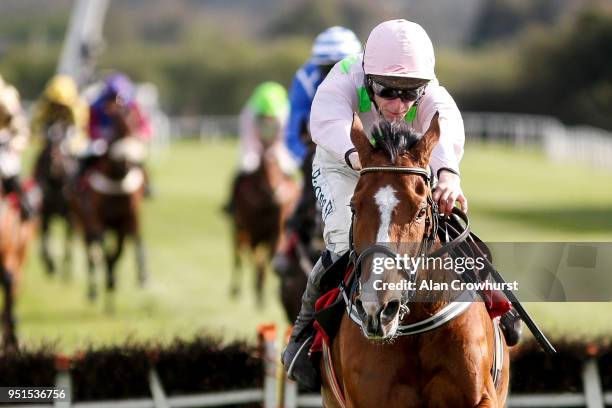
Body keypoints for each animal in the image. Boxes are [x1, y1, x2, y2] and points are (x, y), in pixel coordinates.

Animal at [33, 122, 78, 278]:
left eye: (63, 140)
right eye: (48, 141)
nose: (53, 159)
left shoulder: (70, 216)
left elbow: (68, 243)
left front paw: (66, 271)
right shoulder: (45, 214)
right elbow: (45, 240)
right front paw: (50, 265)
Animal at [71, 105, 148, 310]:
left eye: (133, 128)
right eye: (115, 130)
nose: (125, 165)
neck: (116, 182)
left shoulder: (126, 221)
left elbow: (117, 254)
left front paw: (113, 282)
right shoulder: (97, 221)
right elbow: (103, 252)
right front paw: (108, 283)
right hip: (84, 222)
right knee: (91, 254)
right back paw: (93, 291)